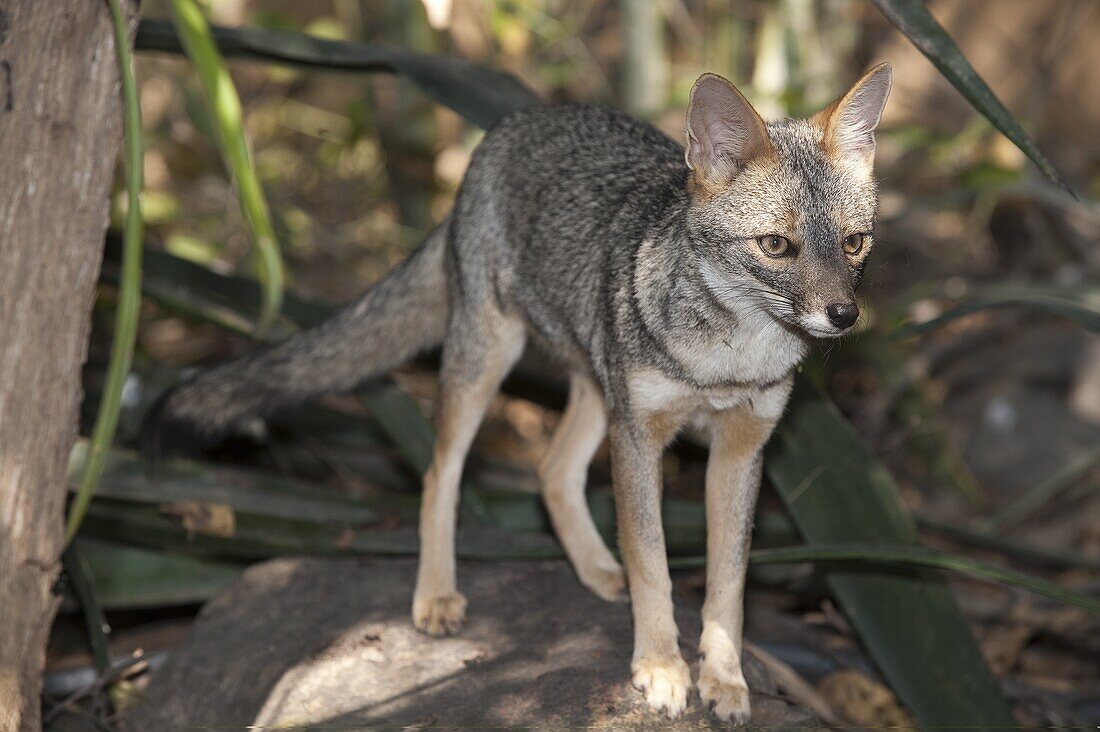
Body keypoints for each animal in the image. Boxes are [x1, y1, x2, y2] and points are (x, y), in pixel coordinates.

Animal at [141, 64, 888, 726]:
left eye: (855, 244)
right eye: (777, 246)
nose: (843, 316)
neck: (728, 360)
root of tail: (514, 121)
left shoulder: (741, 449)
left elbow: (727, 585)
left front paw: (725, 680)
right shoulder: (640, 436)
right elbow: (654, 564)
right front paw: (660, 668)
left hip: (593, 387)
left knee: (550, 470)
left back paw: (595, 568)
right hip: (490, 363)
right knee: (439, 473)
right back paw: (437, 593)